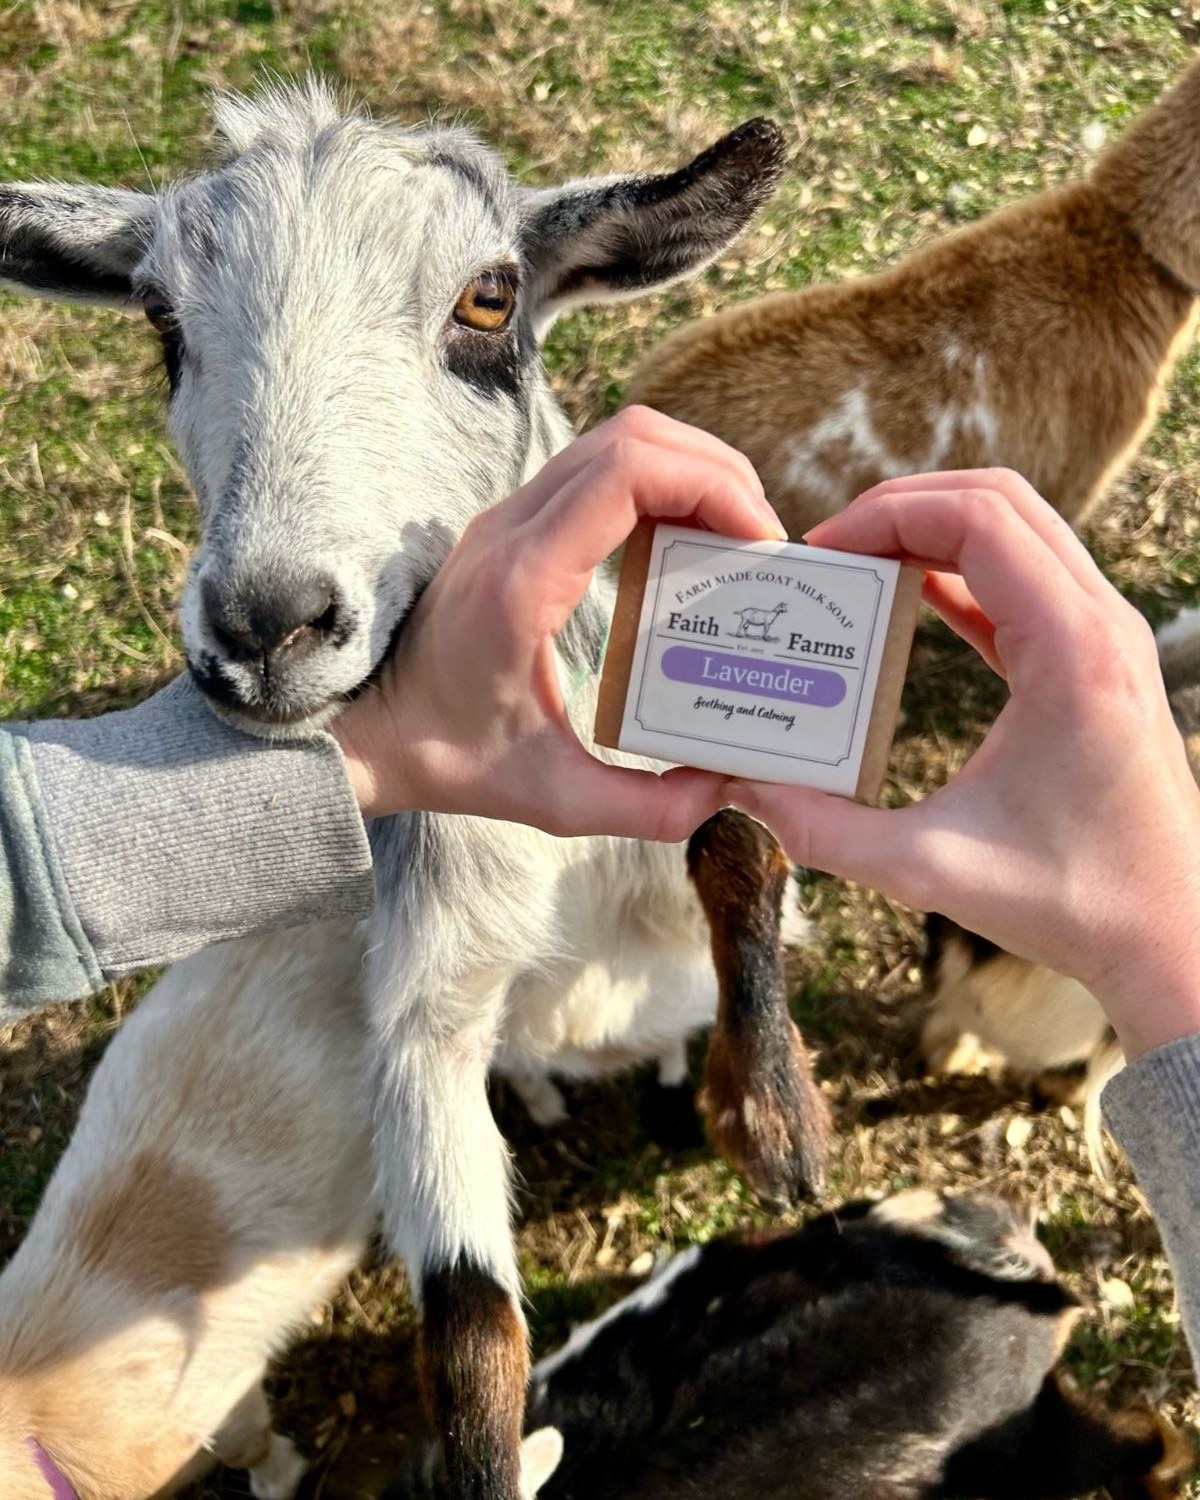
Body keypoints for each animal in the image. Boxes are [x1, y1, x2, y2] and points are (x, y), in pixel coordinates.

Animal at [0, 83, 822, 1500]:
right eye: (160, 316)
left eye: (489, 298)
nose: (266, 627)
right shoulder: (423, 989)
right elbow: (472, 1322)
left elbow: (738, 835)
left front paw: (768, 1117)